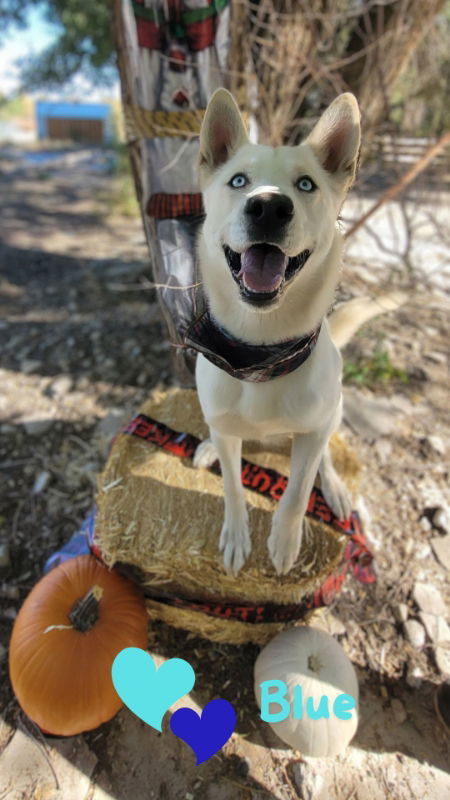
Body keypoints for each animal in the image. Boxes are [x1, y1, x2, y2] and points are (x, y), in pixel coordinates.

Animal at [191, 89, 362, 576]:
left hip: (334, 411)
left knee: (326, 456)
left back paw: (335, 487)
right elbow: (232, 485)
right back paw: (208, 447)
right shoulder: (226, 425)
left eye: (305, 185)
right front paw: (236, 536)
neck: (260, 353)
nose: (268, 206)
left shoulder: (312, 431)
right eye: (238, 181)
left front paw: (285, 541)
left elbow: (298, 490)